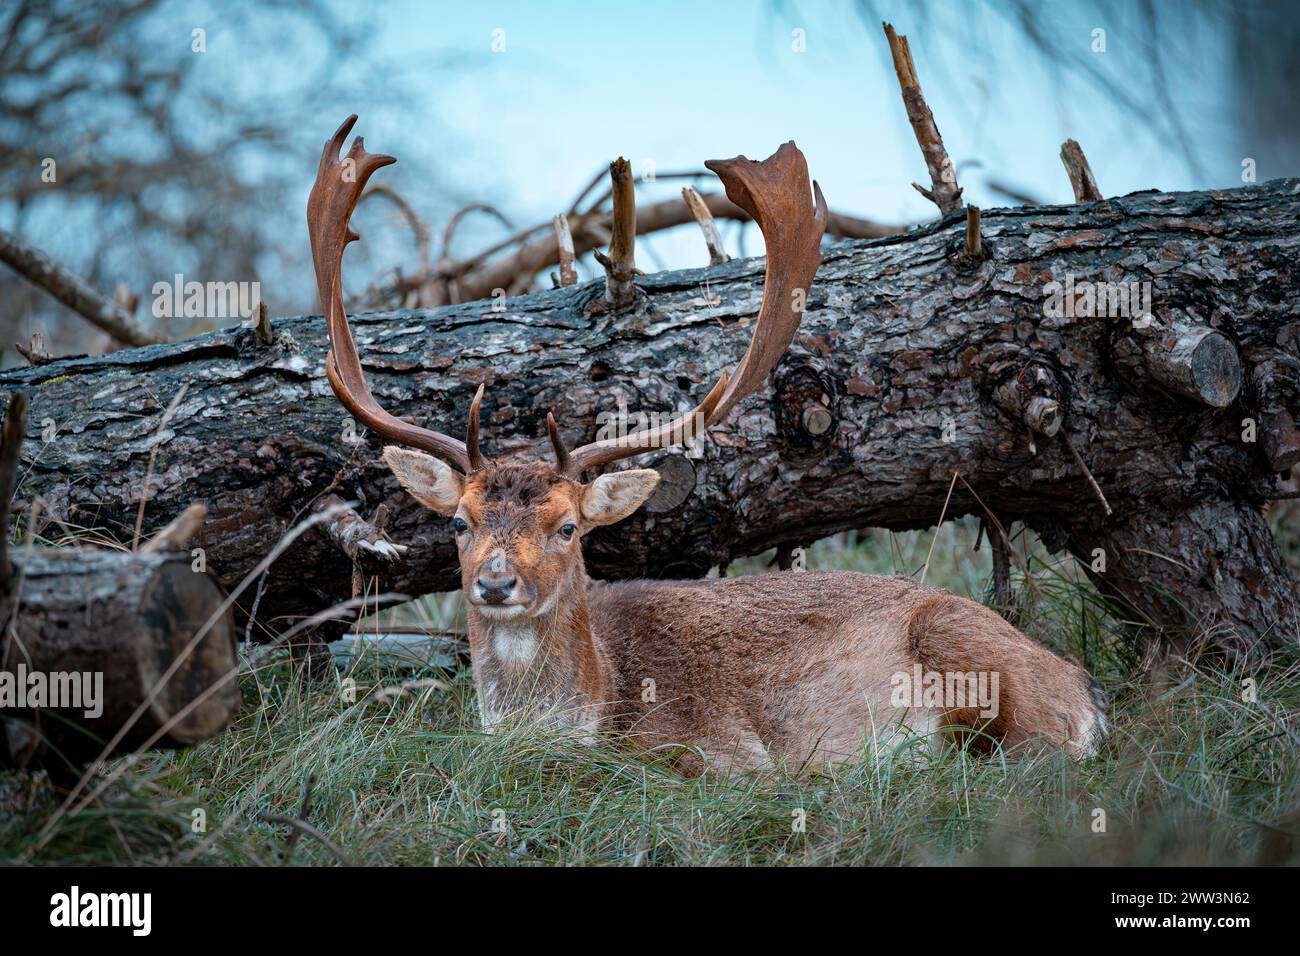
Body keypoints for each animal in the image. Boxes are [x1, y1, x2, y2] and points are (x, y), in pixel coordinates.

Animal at [306, 115, 1107, 775]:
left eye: (568, 527)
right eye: (460, 522)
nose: (496, 583)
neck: (599, 702)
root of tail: (1088, 694)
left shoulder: (718, 753)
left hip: (971, 655)